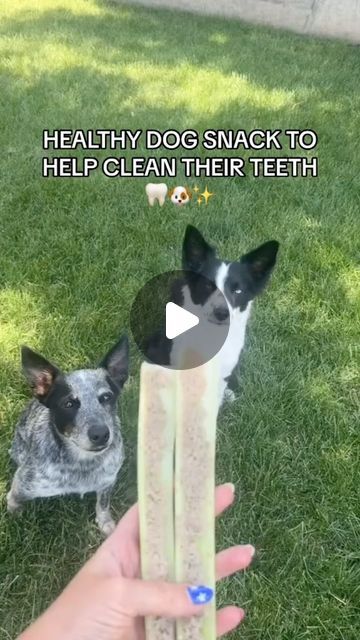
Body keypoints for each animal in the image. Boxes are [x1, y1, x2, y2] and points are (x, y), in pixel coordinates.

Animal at [6, 338, 129, 536]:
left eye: (106, 397)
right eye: (68, 404)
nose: (101, 434)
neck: (83, 463)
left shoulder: (108, 480)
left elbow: (103, 504)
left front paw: (105, 522)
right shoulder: (24, 482)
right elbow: (14, 497)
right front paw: (14, 513)